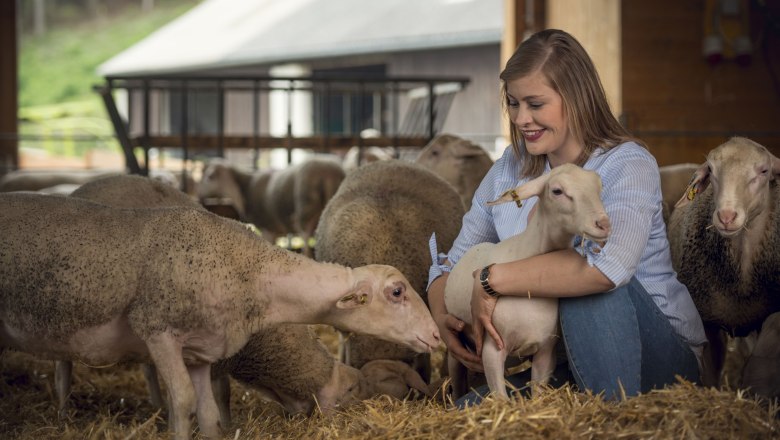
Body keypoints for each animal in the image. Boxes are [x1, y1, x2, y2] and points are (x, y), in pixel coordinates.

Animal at [444, 164, 608, 398]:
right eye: (557, 191)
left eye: (599, 187)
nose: (604, 224)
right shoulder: (492, 349)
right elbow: (500, 397)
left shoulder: (546, 351)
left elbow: (537, 392)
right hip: (456, 347)